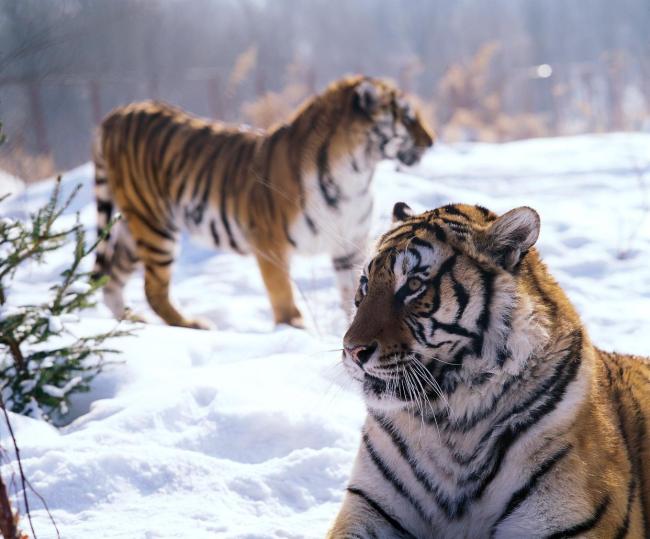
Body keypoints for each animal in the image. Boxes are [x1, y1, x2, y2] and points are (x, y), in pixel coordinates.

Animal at [91, 76, 433, 329]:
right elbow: (282, 293)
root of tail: (115, 115)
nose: (431, 142)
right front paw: (296, 328)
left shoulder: (349, 245)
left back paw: (131, 322)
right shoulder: (269, 242)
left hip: (136, 227)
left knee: (111, 278)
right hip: (155, 225)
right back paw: (193, 325)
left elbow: (353, 292)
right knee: (153, 289)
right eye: (407, 116)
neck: (358, 174)